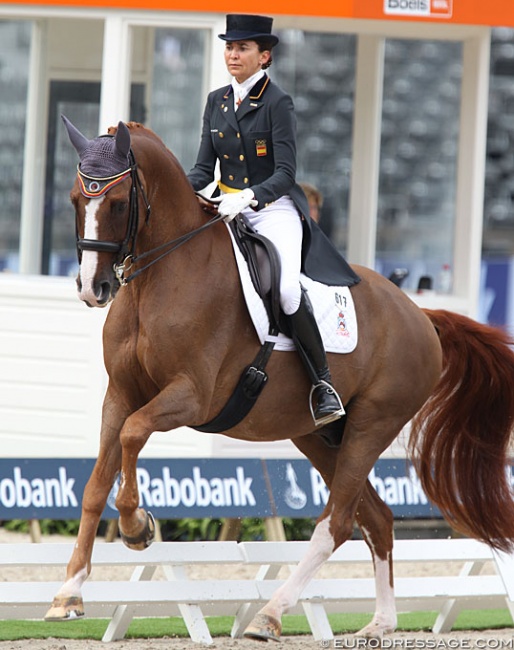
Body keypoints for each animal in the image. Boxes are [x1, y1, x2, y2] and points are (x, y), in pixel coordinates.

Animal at [46, 119, 512, 640]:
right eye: (74, 199)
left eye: (119, 203)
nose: (93, 288)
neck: (160, 279)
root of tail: (420, 313)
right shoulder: (120, 394)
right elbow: (95, 485)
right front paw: (69, 594)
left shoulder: (192, 397)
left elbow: (132, 435)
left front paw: (136, 527)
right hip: (318, 435)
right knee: (377, 518)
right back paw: (380, 622)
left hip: (372, 425)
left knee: (337, 523)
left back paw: (270, 614)